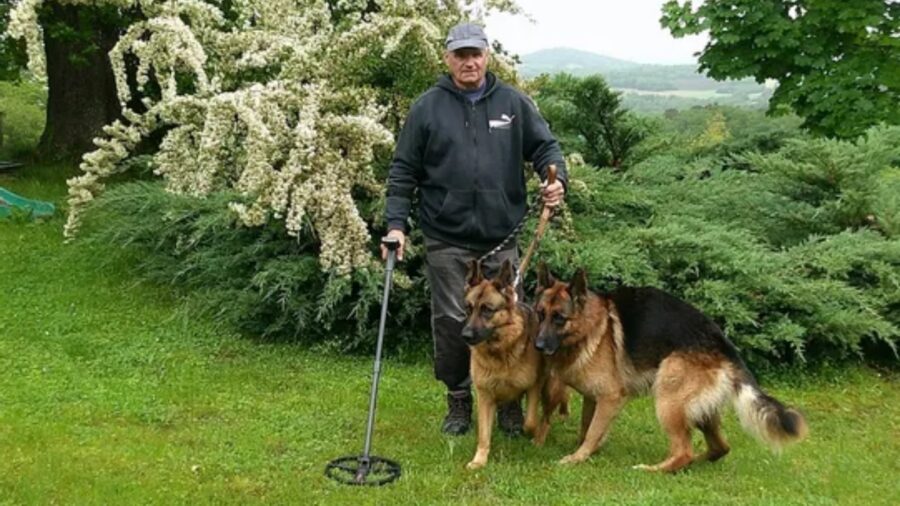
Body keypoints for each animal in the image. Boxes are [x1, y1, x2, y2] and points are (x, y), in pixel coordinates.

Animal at [464, 260, 568, 470]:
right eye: (468, 309)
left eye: (487, 310)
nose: (466, 335)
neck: (501, 350)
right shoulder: (484, 396)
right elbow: (484, 434)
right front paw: (479, 460)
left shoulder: (534, 387)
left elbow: (530, 421)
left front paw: (530, 432)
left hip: (551, 389)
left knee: (546, 417)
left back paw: (540, 439)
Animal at [536, 262, 808, 472]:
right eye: (540, 314)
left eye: (559, 318)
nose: (537, 345)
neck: (590, 327)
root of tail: (723, 344)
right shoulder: (594, 398)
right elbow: (587, 428)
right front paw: (587, 451)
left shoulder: (611, 397)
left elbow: (592, 431)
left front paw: (577, 458)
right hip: (700, 410)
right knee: (720, 447)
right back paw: (695, 463)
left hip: (668, 397)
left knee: (683, 451)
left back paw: (653, 469)